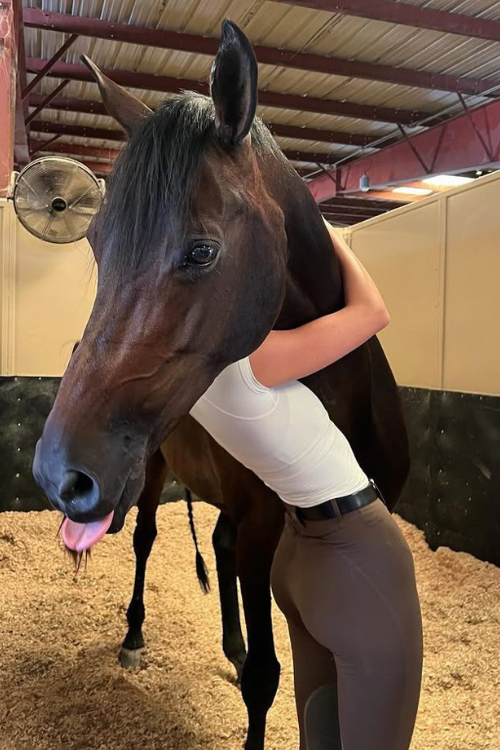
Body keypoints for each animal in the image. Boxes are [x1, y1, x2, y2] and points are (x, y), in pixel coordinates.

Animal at [33, 20, 409, 750]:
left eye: (201, 251)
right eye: (95, 243)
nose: (59, 475)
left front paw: (239, 651)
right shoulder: (263, 533)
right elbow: (269, 676)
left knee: (218, 545)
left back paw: (227, 644)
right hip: (152, 476)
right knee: (149, 538)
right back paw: (135, 638)